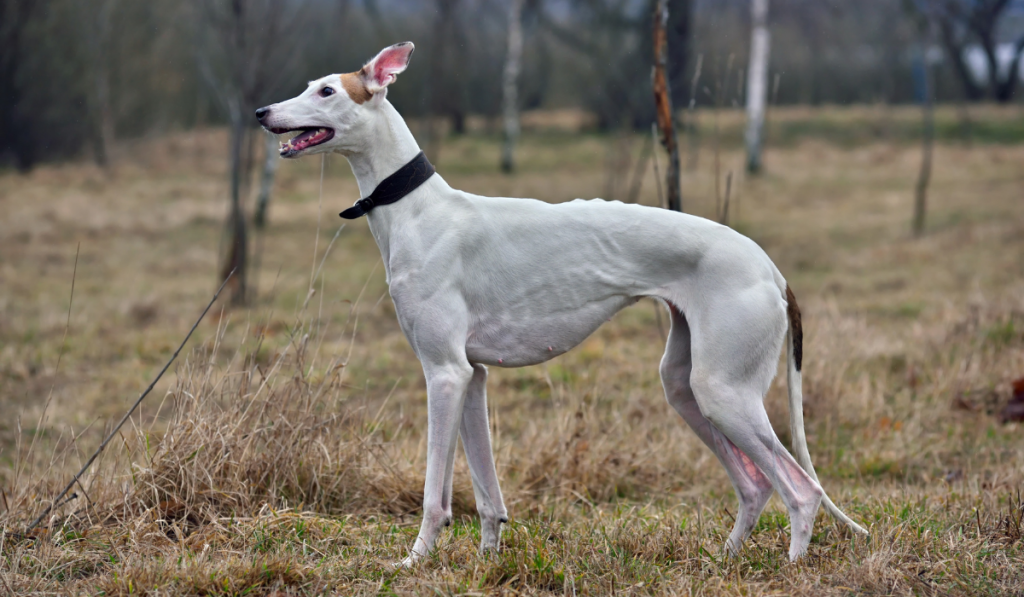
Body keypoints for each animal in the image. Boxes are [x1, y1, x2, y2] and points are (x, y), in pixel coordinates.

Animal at [256, 40, 864, 565]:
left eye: (327, 91)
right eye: (309, 86)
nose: (262, 111)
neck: (417, 209)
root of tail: (771, 268)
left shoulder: (444, 373)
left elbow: (435, 495)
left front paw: (414, 562)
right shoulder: (472, 377)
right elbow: (488, 493)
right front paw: (487, 558)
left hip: (725, 392)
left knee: (801, 489)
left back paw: (791, 562)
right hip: (688, 386)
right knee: (755, 485)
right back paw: (725, 557)